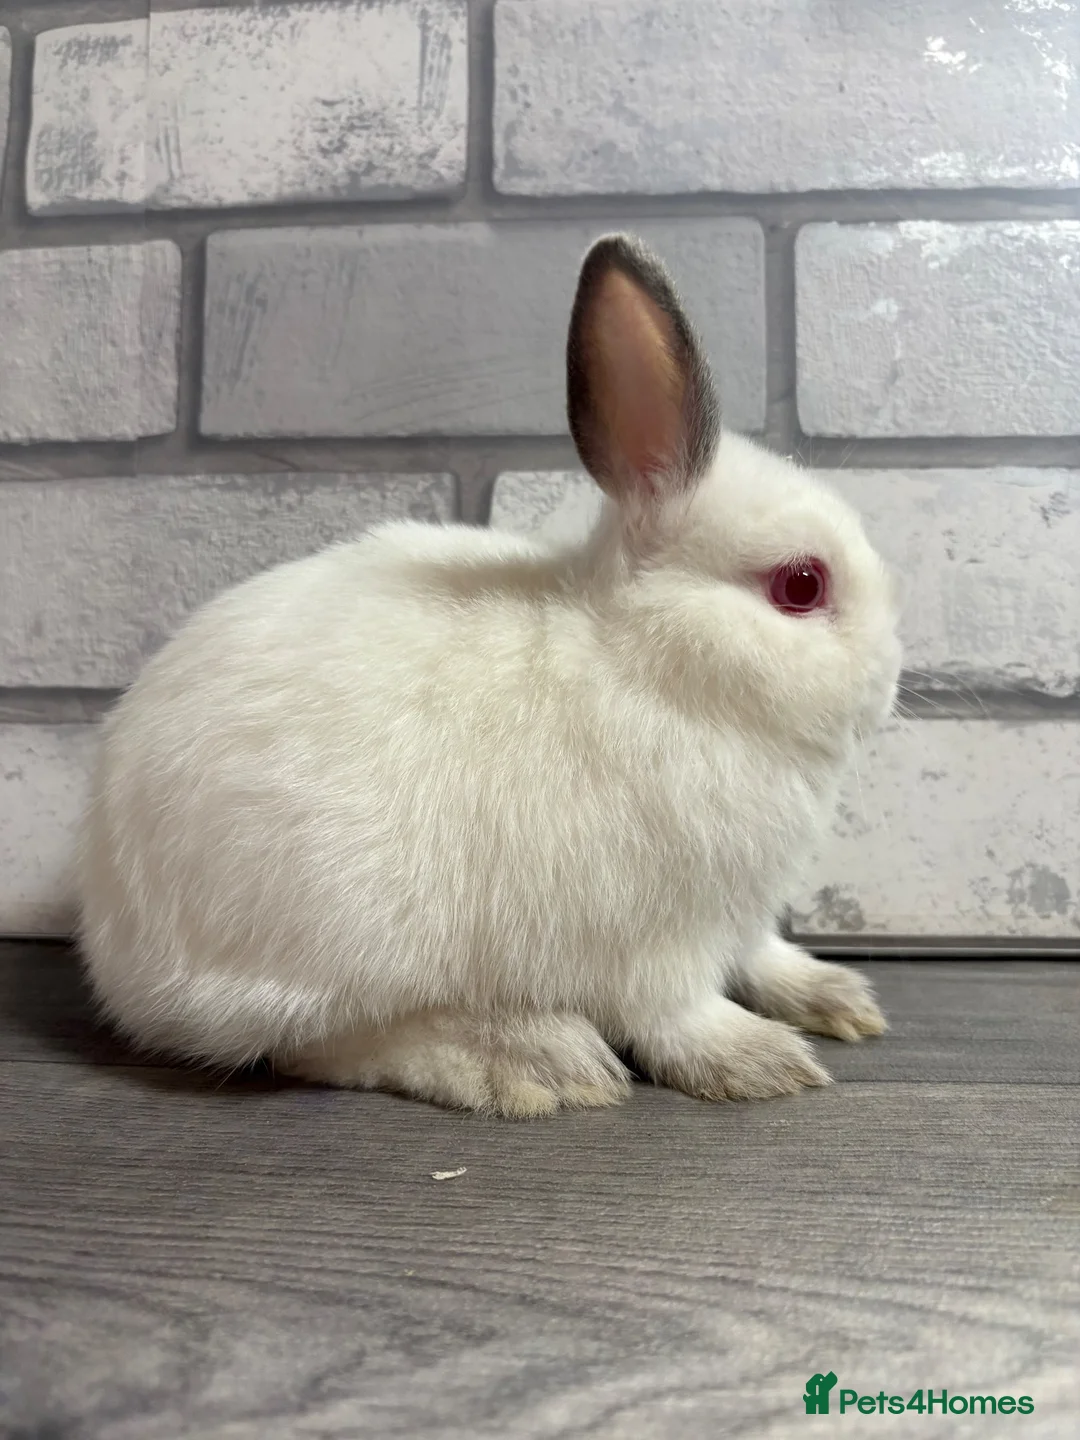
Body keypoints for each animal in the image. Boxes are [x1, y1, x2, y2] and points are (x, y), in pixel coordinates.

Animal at [76, 233, 902, 1117]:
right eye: (800, 586)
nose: (890, 680)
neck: (649, 663)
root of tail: (111, 923)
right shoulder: (653, 939)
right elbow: (676, 1012)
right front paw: (757, 1059)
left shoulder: (742, 917)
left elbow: (761, 956)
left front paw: (836, 998)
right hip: (328, 945)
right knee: (321, 1045)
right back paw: (530, 1059)